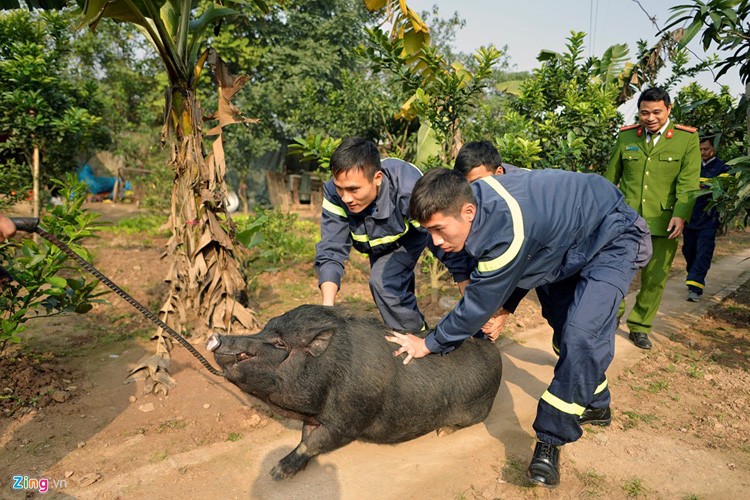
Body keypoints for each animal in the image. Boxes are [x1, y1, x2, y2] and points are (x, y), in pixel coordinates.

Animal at [206, 304, 502, 480]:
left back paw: (443, 431)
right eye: (264, 328)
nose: (216, 336)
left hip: (477, 411)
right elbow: (305, 436)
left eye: (280, 343)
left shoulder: (349, 418)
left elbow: (313, 442)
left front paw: (275, 473)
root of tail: (496, 353)